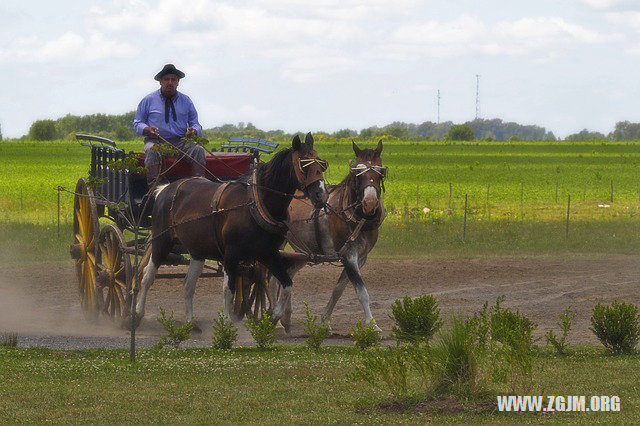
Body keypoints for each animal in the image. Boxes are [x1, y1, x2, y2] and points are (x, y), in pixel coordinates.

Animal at [134, 134, 324, 330]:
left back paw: (191, 322)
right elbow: (228, 290)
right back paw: (137, 314)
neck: (256, 204)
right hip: (161, 242)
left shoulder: (268, 253)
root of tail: (164, 189)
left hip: (197, 250)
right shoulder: (231, 254)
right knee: (147, 277)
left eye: (321, 163)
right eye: (303, 164)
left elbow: (286, 285)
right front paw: (226, 323)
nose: (321, 195)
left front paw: (272, 317)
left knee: (188, 285)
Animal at [268, 141, 384, 332]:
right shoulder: (349, 256)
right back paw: (272, 314)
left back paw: (285, 317)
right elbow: (361, 291)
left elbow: (338, 290)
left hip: (303, 251)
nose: (370, 203)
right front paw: (373, 325)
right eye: (356, 173)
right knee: (272, 278)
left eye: (380, 171)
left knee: (287, 274)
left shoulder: (360, 258)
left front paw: (325, 321)